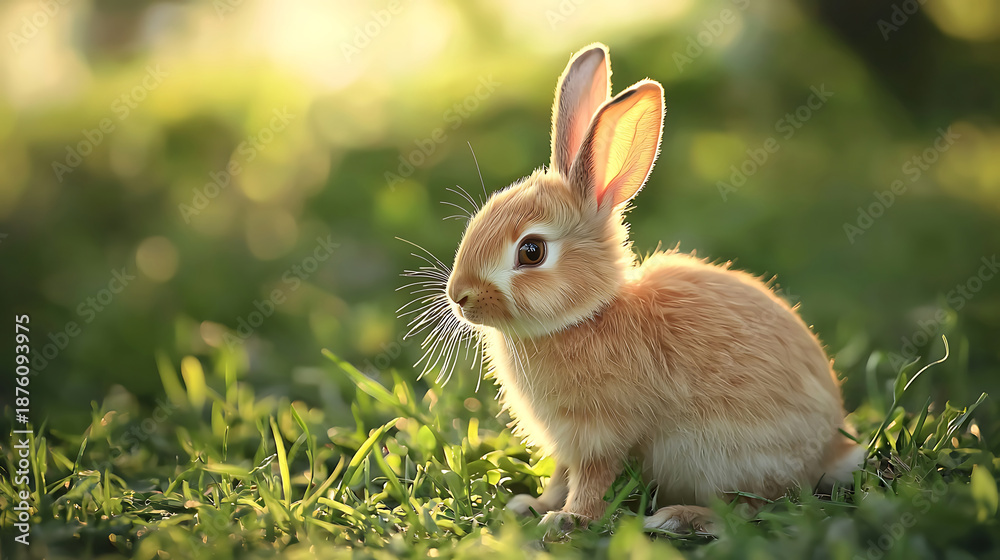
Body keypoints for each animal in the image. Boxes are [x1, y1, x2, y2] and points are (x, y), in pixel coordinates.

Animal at [423, 43, 864, 534]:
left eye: (532, 252)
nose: (458, 296)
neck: (587, 316)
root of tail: (831, 453)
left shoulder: (601, 433)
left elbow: (591, 480)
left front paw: (567, 519)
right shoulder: (569, 442)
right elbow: (561, 475)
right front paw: (531, 506)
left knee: (755, 507)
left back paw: (678, 518)